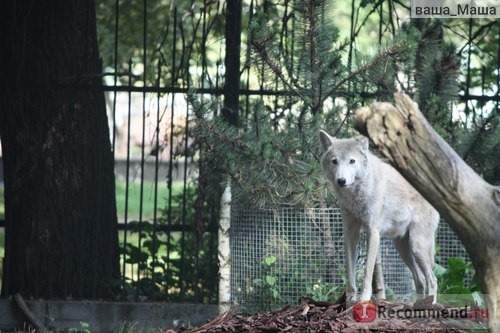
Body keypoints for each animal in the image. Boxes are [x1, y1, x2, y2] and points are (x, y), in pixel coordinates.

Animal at [320, 131, 438, 302]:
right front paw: (349, 300)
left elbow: (368, 274)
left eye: (352, 161)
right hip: (403, 248)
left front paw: (363, 300)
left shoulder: (373, 232)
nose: (341, 180)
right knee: (420, 280)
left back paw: (432, 304)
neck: (356, 194)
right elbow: (350, 272)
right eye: (334, 161)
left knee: (432, 279)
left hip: (417, 246)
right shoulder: (350, 232)